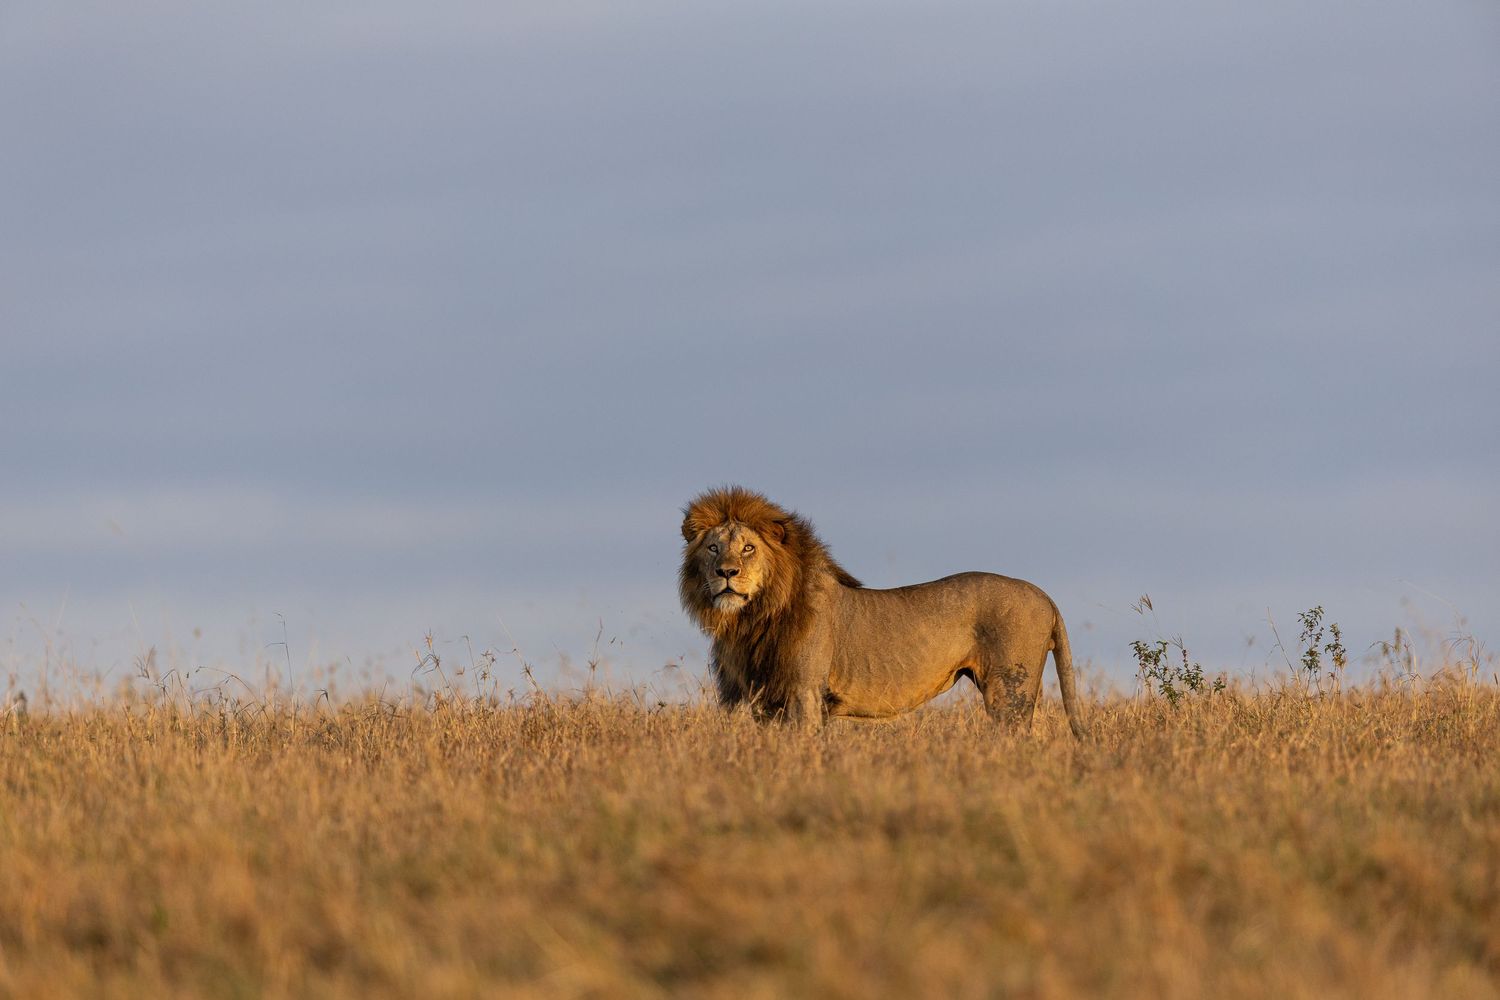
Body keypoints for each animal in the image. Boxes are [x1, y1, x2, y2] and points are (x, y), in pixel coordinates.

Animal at [678, 486, 1085, 737]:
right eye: (713, 548)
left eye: (748, 548)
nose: (726, 573)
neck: (751, 618)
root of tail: (1045, 597)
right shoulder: (759, 701)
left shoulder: (804, 693)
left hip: (1009, 691)